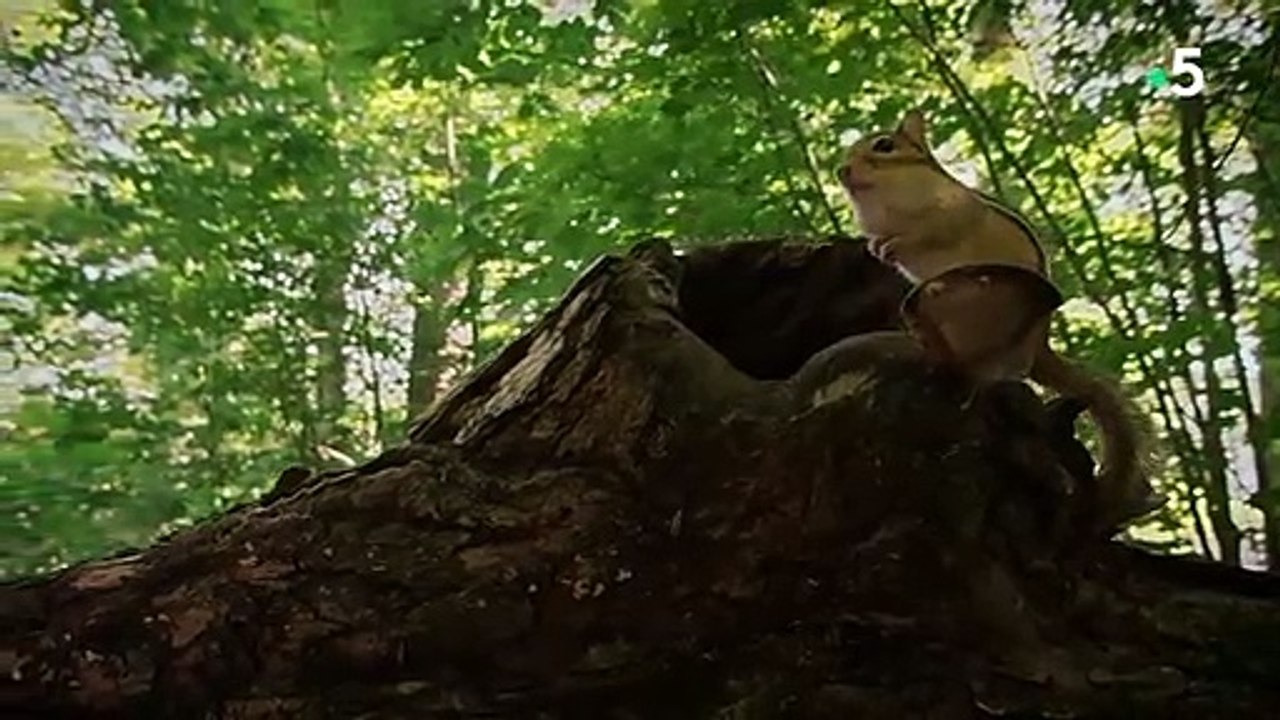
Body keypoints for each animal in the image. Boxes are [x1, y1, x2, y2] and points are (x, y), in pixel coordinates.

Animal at [837, 108, 1160, 532]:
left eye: (884, 146)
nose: (842, 171)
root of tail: (1040, 347)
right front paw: (877, 247)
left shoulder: (947, 217)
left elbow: (924, 237)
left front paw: (893, 245)